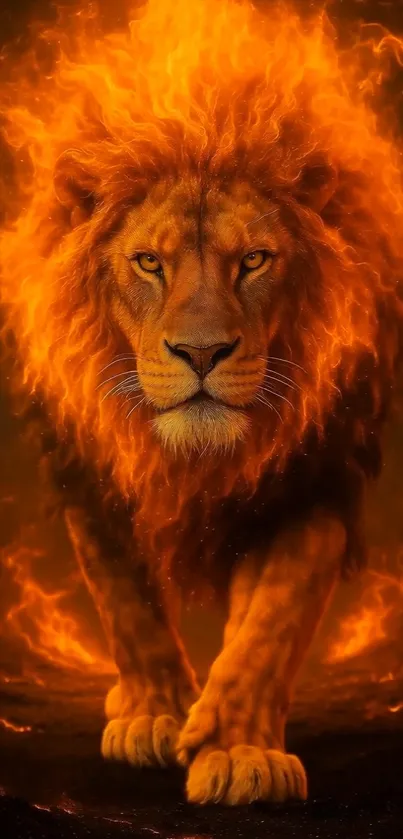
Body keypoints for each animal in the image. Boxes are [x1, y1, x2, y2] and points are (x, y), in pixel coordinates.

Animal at [1, 0, 403, 807]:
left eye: (252, 260)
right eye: (148, 263)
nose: (202, 353)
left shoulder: (318, 468)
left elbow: (272, 620)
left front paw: (238, 746)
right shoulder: (88, 463)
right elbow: (126, 602)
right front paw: (155, 714)